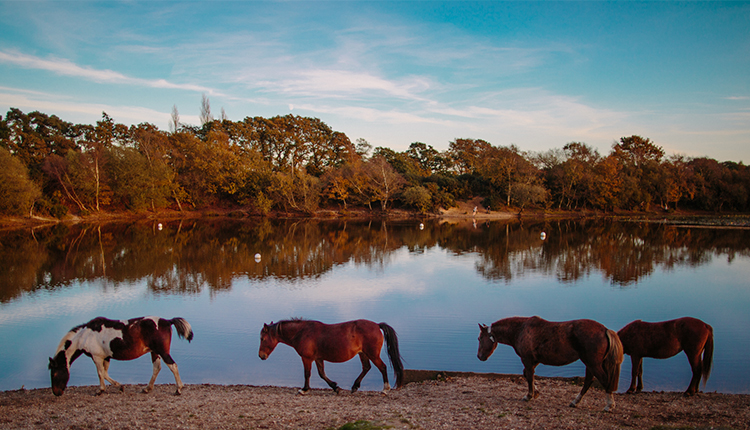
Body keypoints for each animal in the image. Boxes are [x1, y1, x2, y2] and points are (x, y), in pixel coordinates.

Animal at [47, 316, 194, 396]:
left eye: (54, 373)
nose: (56, 392)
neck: (85, 335)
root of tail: (168, 321)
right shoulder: (106, 357)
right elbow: (104, 373)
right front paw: (117, 387)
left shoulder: (97, 357)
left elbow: (100, 373)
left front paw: (102, 390)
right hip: (154, 352)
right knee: (157, 368)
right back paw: (147, 388)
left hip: (162, 352)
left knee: (173, 366)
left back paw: (178, 389)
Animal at [260, 318, 406, 394]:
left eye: (262, 338)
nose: (261, 355)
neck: (302, 332)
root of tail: (376, 325)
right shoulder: (318, 358)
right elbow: (322, 374)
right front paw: (335, 387)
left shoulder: (307, 358)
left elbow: (307, 374)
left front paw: (304, 389)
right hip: (363, 354)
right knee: (366, 368)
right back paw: (354, 386)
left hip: (372, 354)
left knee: (382, 367)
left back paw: (385, 389)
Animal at [478, 318, 624, 412]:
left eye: (480, 338)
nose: (479, 356)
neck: (521, 330)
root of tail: (605, 330)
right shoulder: (533, 361)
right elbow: (528, 375)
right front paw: (535, 392)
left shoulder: (527, 359)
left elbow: (529, 376)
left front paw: (528, 396)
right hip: (590, 364)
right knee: (588, 381)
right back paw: (575, 402)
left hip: (593, 363)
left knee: (604, 380)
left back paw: (609, 405)